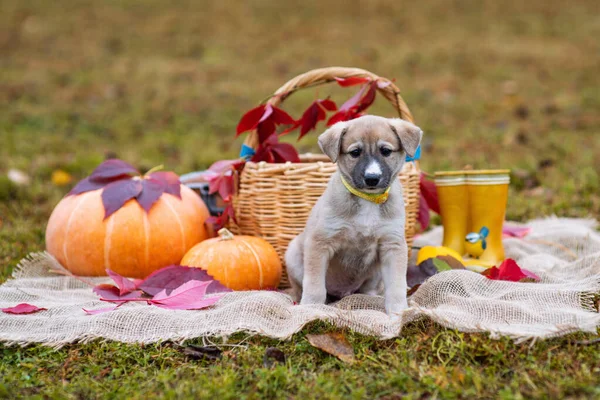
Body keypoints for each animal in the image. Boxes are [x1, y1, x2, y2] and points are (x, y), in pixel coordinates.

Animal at [284, 114, 422, 318]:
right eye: (355, 152)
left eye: (386, 151)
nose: (372, 178)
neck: (368, 199)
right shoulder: (320, 242)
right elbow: (315, 285)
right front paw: (310, 308)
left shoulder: (392, 245)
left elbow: (396, 286)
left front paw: (398, 313)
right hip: (293, 253)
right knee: (301, 288)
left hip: (374, 273)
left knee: (369, 289)